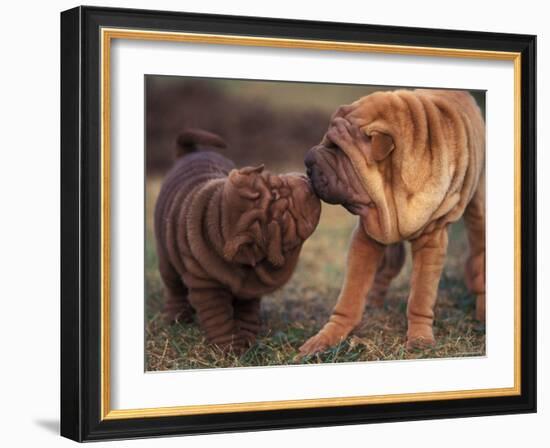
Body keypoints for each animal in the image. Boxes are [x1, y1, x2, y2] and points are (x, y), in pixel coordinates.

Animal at [155, 128, 324, 352]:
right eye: (282, 219)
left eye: (276, 183)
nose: (307, 184)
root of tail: (188, 154)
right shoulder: (207, 288)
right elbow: (219, 319)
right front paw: (229, 350)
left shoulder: (250, 289)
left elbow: (246, 313)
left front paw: (247, 338)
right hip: (166, 259)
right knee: (174, 287)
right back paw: (177, 319)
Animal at [302, 88, 488, 354]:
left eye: (338, 149)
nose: (307, 162)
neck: (391, 191)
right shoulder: (368, 234)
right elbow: (351, 293)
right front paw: (326, 338)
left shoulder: (432, 241)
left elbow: (421, 295)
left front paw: (419, 340)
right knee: (386, 268)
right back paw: (373, 302)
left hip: (478, 209)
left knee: (479, 254)